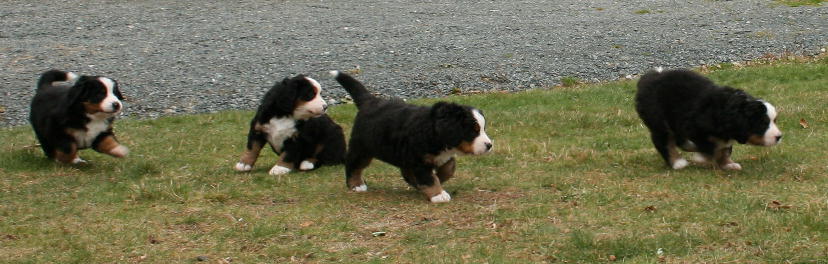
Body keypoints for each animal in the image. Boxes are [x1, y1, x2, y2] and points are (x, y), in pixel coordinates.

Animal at [328, 69, 492, 202]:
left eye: (483, 129)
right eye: (473, 131)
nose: (489, 145)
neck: (435, 132)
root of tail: (370, 101)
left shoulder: (440, 156)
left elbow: (449, 168)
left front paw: (439, 179)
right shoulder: (419, 159)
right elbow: (429, 178)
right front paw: (438, 195)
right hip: (362, 148)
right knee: (353, 164)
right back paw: (356, 185)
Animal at [632, 68, 784, 170]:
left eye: (774, 121)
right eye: (762, 124)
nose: (779, 137)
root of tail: (647, 79)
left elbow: (725, 149)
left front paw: (728, 164)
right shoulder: (694, 127)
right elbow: (711, 147)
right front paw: (702, 157)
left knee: (680, 141)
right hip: (659, 122)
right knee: (664, 142)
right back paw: (677, 162)